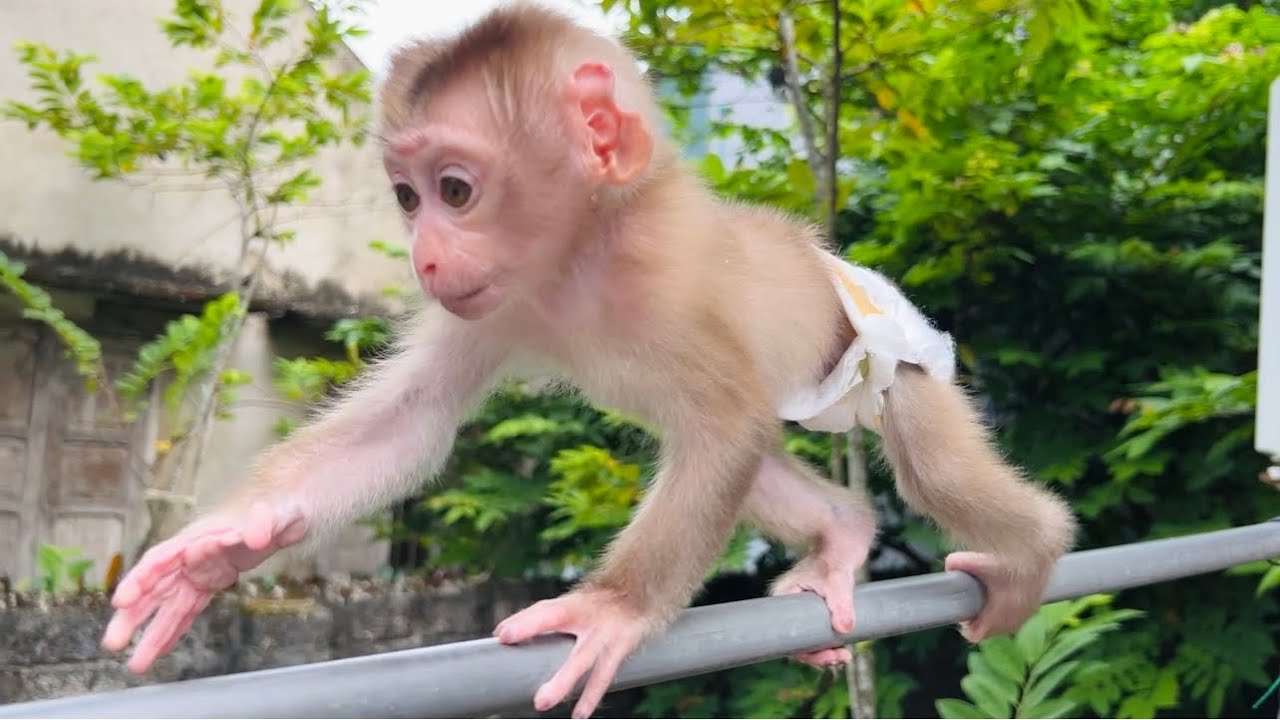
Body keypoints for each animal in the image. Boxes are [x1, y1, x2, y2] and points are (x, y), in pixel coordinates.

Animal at [99, 5, 1076, 718]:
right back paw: (841, 532)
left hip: (900, 361)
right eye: (407, 198)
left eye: (455, 190)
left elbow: (726, 423)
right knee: (751, 458)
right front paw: (224, 545)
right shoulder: (494, 305)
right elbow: (413, 420)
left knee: (917, 467)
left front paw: (613, 609)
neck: (577, 262)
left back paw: (1033, 551)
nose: (423, 257)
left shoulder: (666, 277)